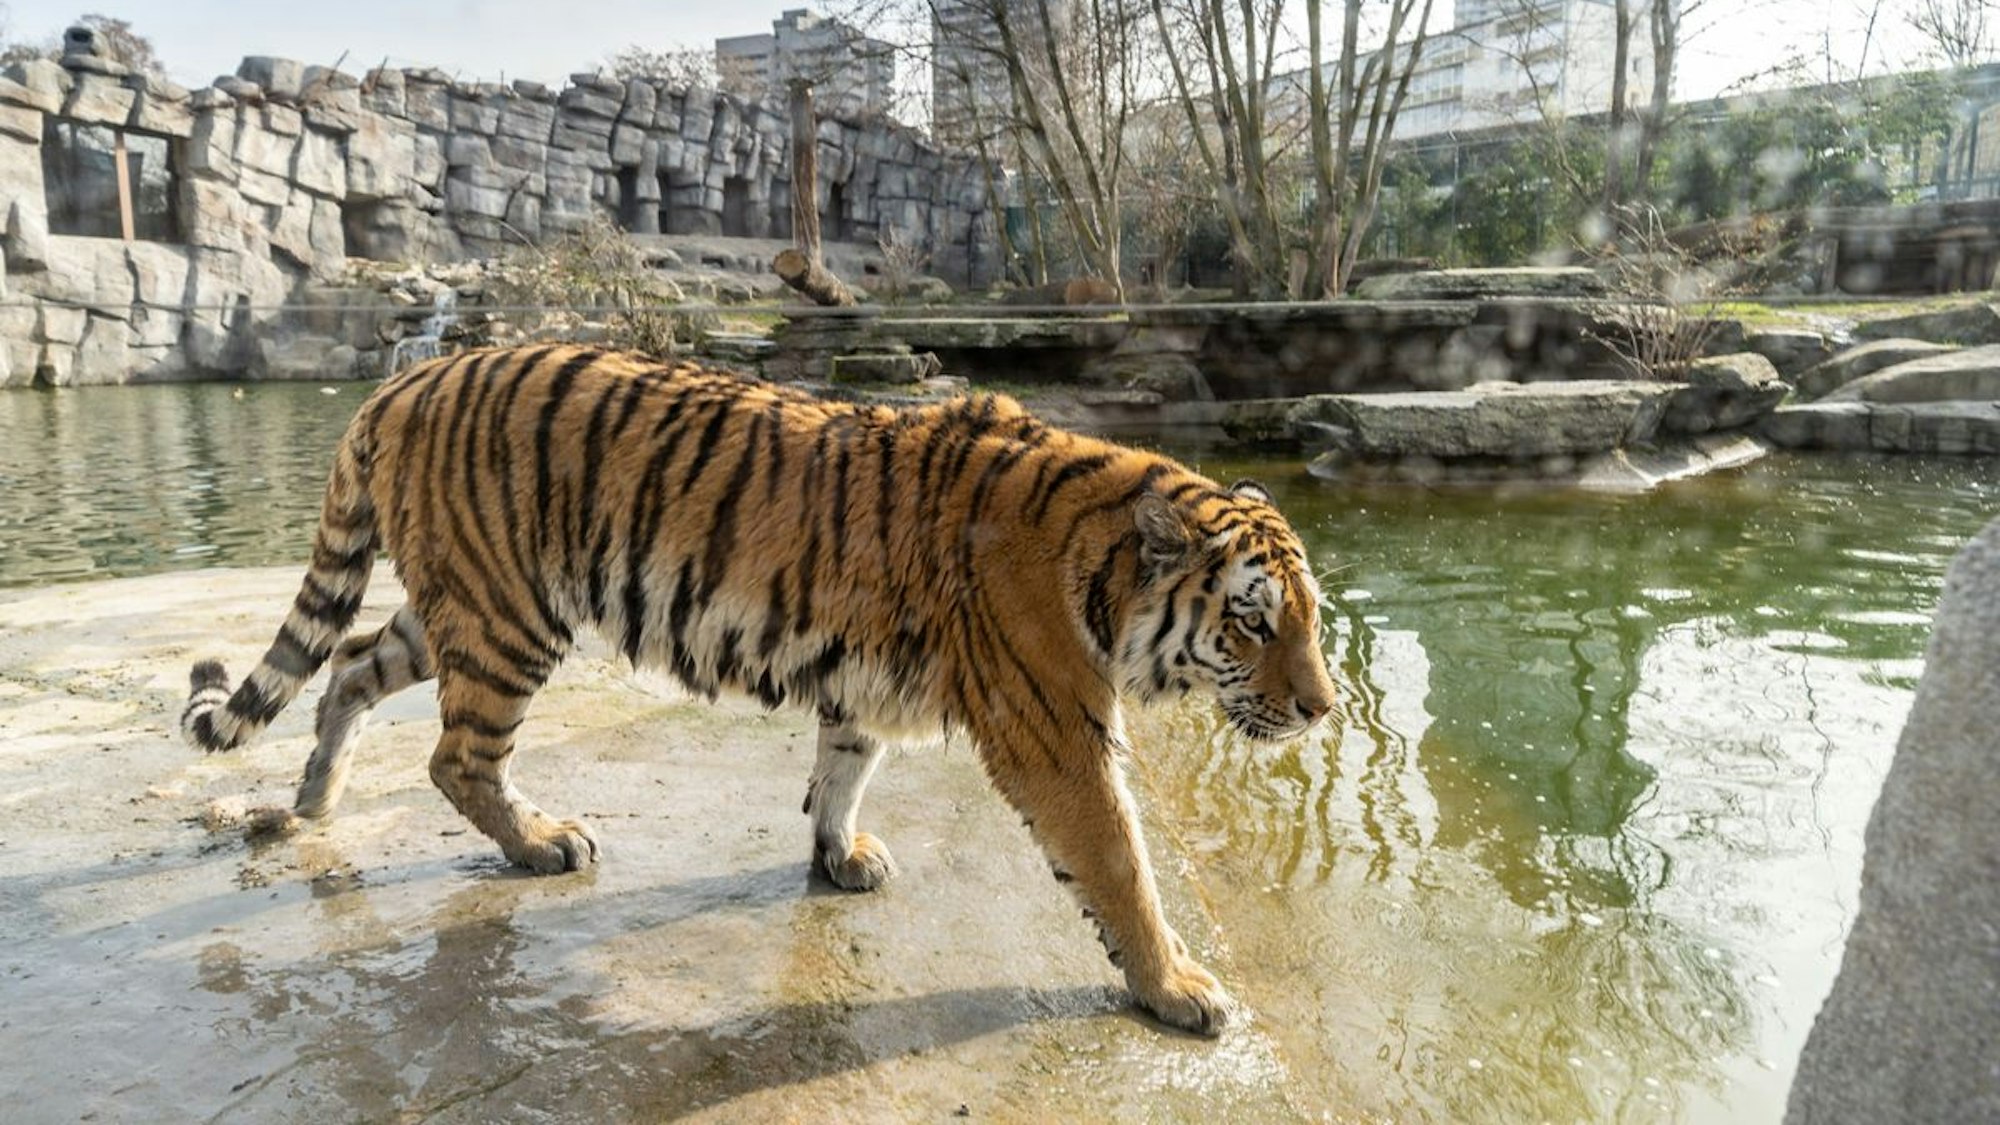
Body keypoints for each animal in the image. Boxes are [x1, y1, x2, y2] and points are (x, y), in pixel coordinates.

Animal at [180, 344, 1338, 1035]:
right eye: (1254, 620)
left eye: (1312, 618)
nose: (1324, 708)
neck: (1098, 566)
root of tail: (405, 377)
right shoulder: (1051, 728)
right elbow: (1119, 865)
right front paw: (1176, 987)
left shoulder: (866, 680)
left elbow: (843, 767)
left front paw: (838, 858)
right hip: (508, 615)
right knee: (456, 755)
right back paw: (542, 842)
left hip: (457, 604)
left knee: (345, 666)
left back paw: (313, 800)